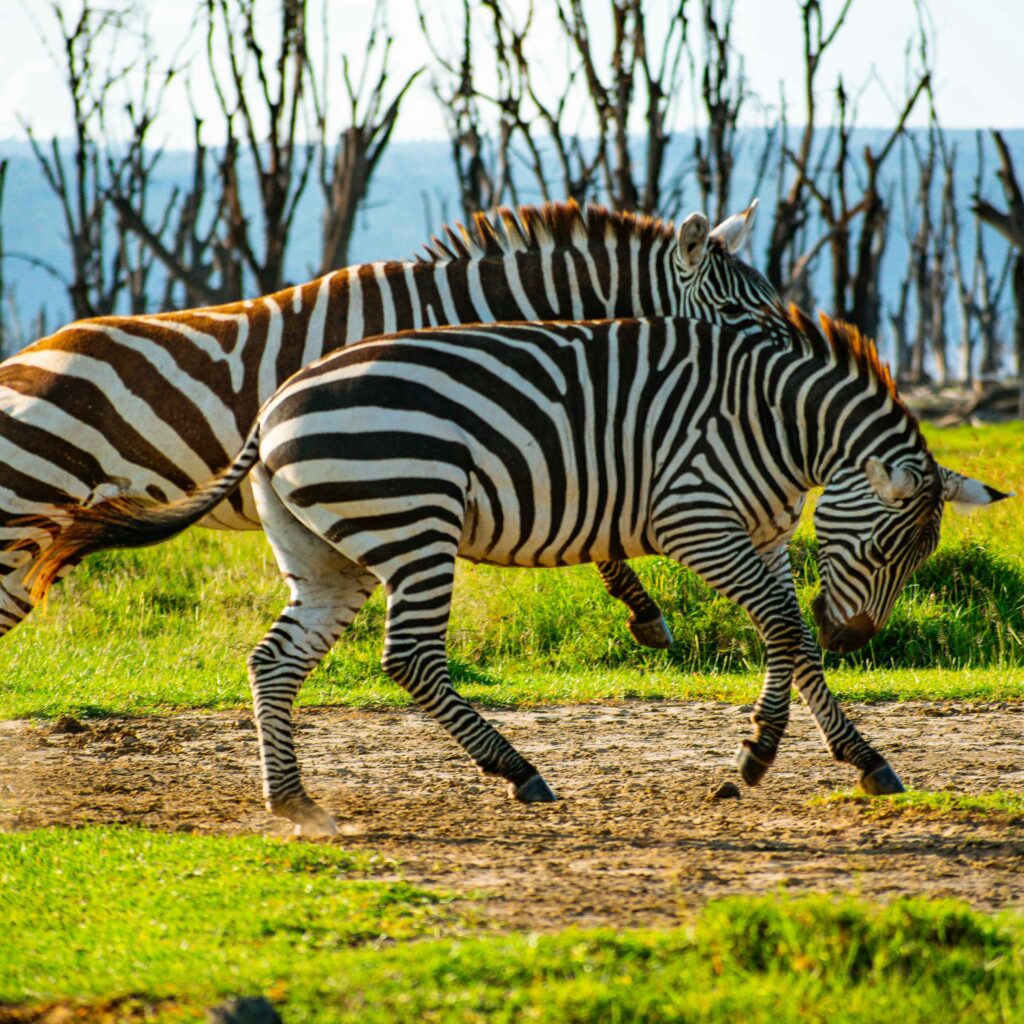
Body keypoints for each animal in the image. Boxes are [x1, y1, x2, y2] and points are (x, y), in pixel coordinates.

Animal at [24, 309, 1008, 836]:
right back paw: (518, 770)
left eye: (913, 560)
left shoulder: (759, 532)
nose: (862, 636)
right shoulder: (695, 520)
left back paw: (295, 799)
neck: (776, 424)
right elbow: (786, 631)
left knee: (275, 660)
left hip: (326, 552)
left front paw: (763, 757)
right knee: (411, 658)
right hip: (412, 519)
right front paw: (847, 757)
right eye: (884, 551)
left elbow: (786, 636)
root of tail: (272, 408)